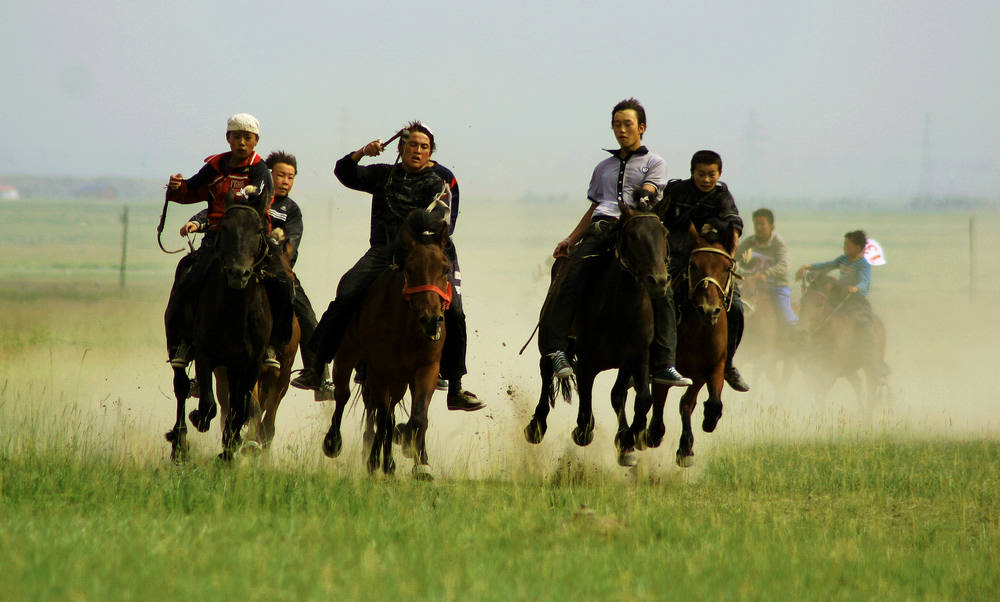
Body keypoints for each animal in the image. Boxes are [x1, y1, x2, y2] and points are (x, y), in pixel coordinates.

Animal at [164, 192, 274, 460]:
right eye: (224, 228)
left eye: (258, 230)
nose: (238, 273)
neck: (235, 315)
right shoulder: (205, 355)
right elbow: (208, 405)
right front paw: (199, 419)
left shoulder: (250, 365)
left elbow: (240, 409)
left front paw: (229, 450)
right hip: (175, 344)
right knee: (181, 386)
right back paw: (179, 445)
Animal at [322, 209, 452, 476]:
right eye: (410, 269)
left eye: (445, 269)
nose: (432, 320)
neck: (407, 329)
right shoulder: (379, 371)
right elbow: (382, 416)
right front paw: (374, 461)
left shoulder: (426, 369)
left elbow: (418, 416)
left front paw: (420, 462)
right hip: (347, 355)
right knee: (343, 395)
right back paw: (334, 443)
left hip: (399, 379)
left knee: (391, 413)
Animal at [524, 199, 672, 466]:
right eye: (633, 235)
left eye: (664, 233)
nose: (658, 281)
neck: (619, 310)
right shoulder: (587, 362)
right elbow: (584, 417)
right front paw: (584, 431)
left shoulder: (638, 357)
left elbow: (641, 399)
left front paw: (628, 440)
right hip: (548, 337)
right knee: (546, 369)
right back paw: (536, 426)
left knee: (618, 394)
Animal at [644, 223, 740, 466]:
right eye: (694, 265)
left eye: (727, 268)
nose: (709, 310)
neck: (698, 331)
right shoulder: (665, 371)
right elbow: (659, 400)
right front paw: (653, 433)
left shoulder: (709, 370)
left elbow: (697, 403)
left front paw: (690, 443)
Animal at [796, 274, 892, 408]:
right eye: (802, 301)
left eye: (820, 304)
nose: (801, 333)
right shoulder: (810, 372)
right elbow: (818, 396)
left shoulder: (830, 372)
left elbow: (821, 396)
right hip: (850, 371)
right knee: (859, 387)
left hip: (869, 369)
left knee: (871, 393)